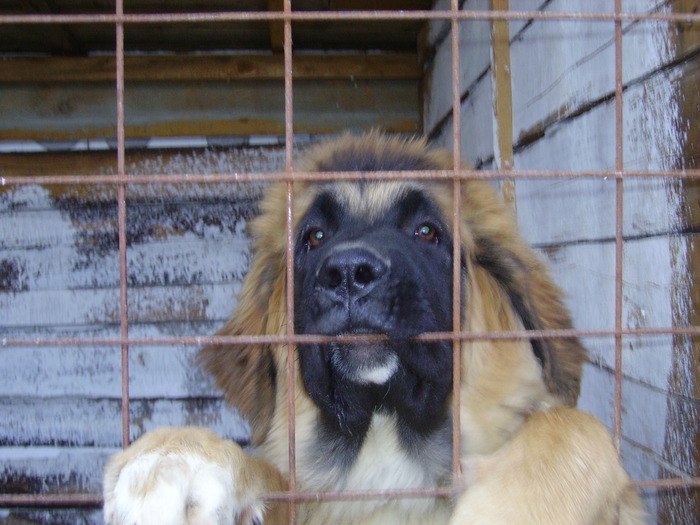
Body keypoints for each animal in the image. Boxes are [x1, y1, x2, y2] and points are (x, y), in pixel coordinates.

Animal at [101, 134, 644, 524]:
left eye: (426, 231)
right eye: (315, 237)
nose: (347, 273)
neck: (384, 439)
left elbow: (573, 424)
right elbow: (272, 475)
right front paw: (177, 457)